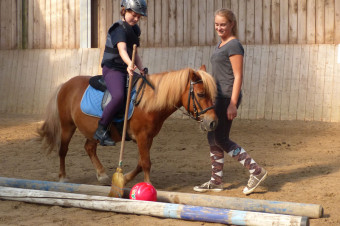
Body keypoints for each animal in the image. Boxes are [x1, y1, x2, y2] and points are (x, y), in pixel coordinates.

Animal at [37, 66, 218, 186]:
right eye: (201, 94)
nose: (213, 122)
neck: (148, 101)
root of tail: (65, 84)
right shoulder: (142, 136)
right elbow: (146, 163)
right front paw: (148, 186)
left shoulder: (148, 138)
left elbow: (141, 162)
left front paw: (123, 179)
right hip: (67, 126)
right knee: (63, 150)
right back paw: (63, 177)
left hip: (93, 130)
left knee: (89, 147)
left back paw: (102, 175)